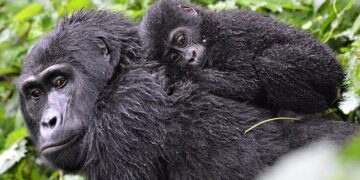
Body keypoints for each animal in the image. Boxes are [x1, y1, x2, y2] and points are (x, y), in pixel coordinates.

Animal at [139, 0, 344, 113]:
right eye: (174, 57)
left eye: (181, 40)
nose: (190, 57)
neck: (209, 30)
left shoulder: (230, 35)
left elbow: (248, 83)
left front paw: (173, 75)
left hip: (324, 67)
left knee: (271, 62)